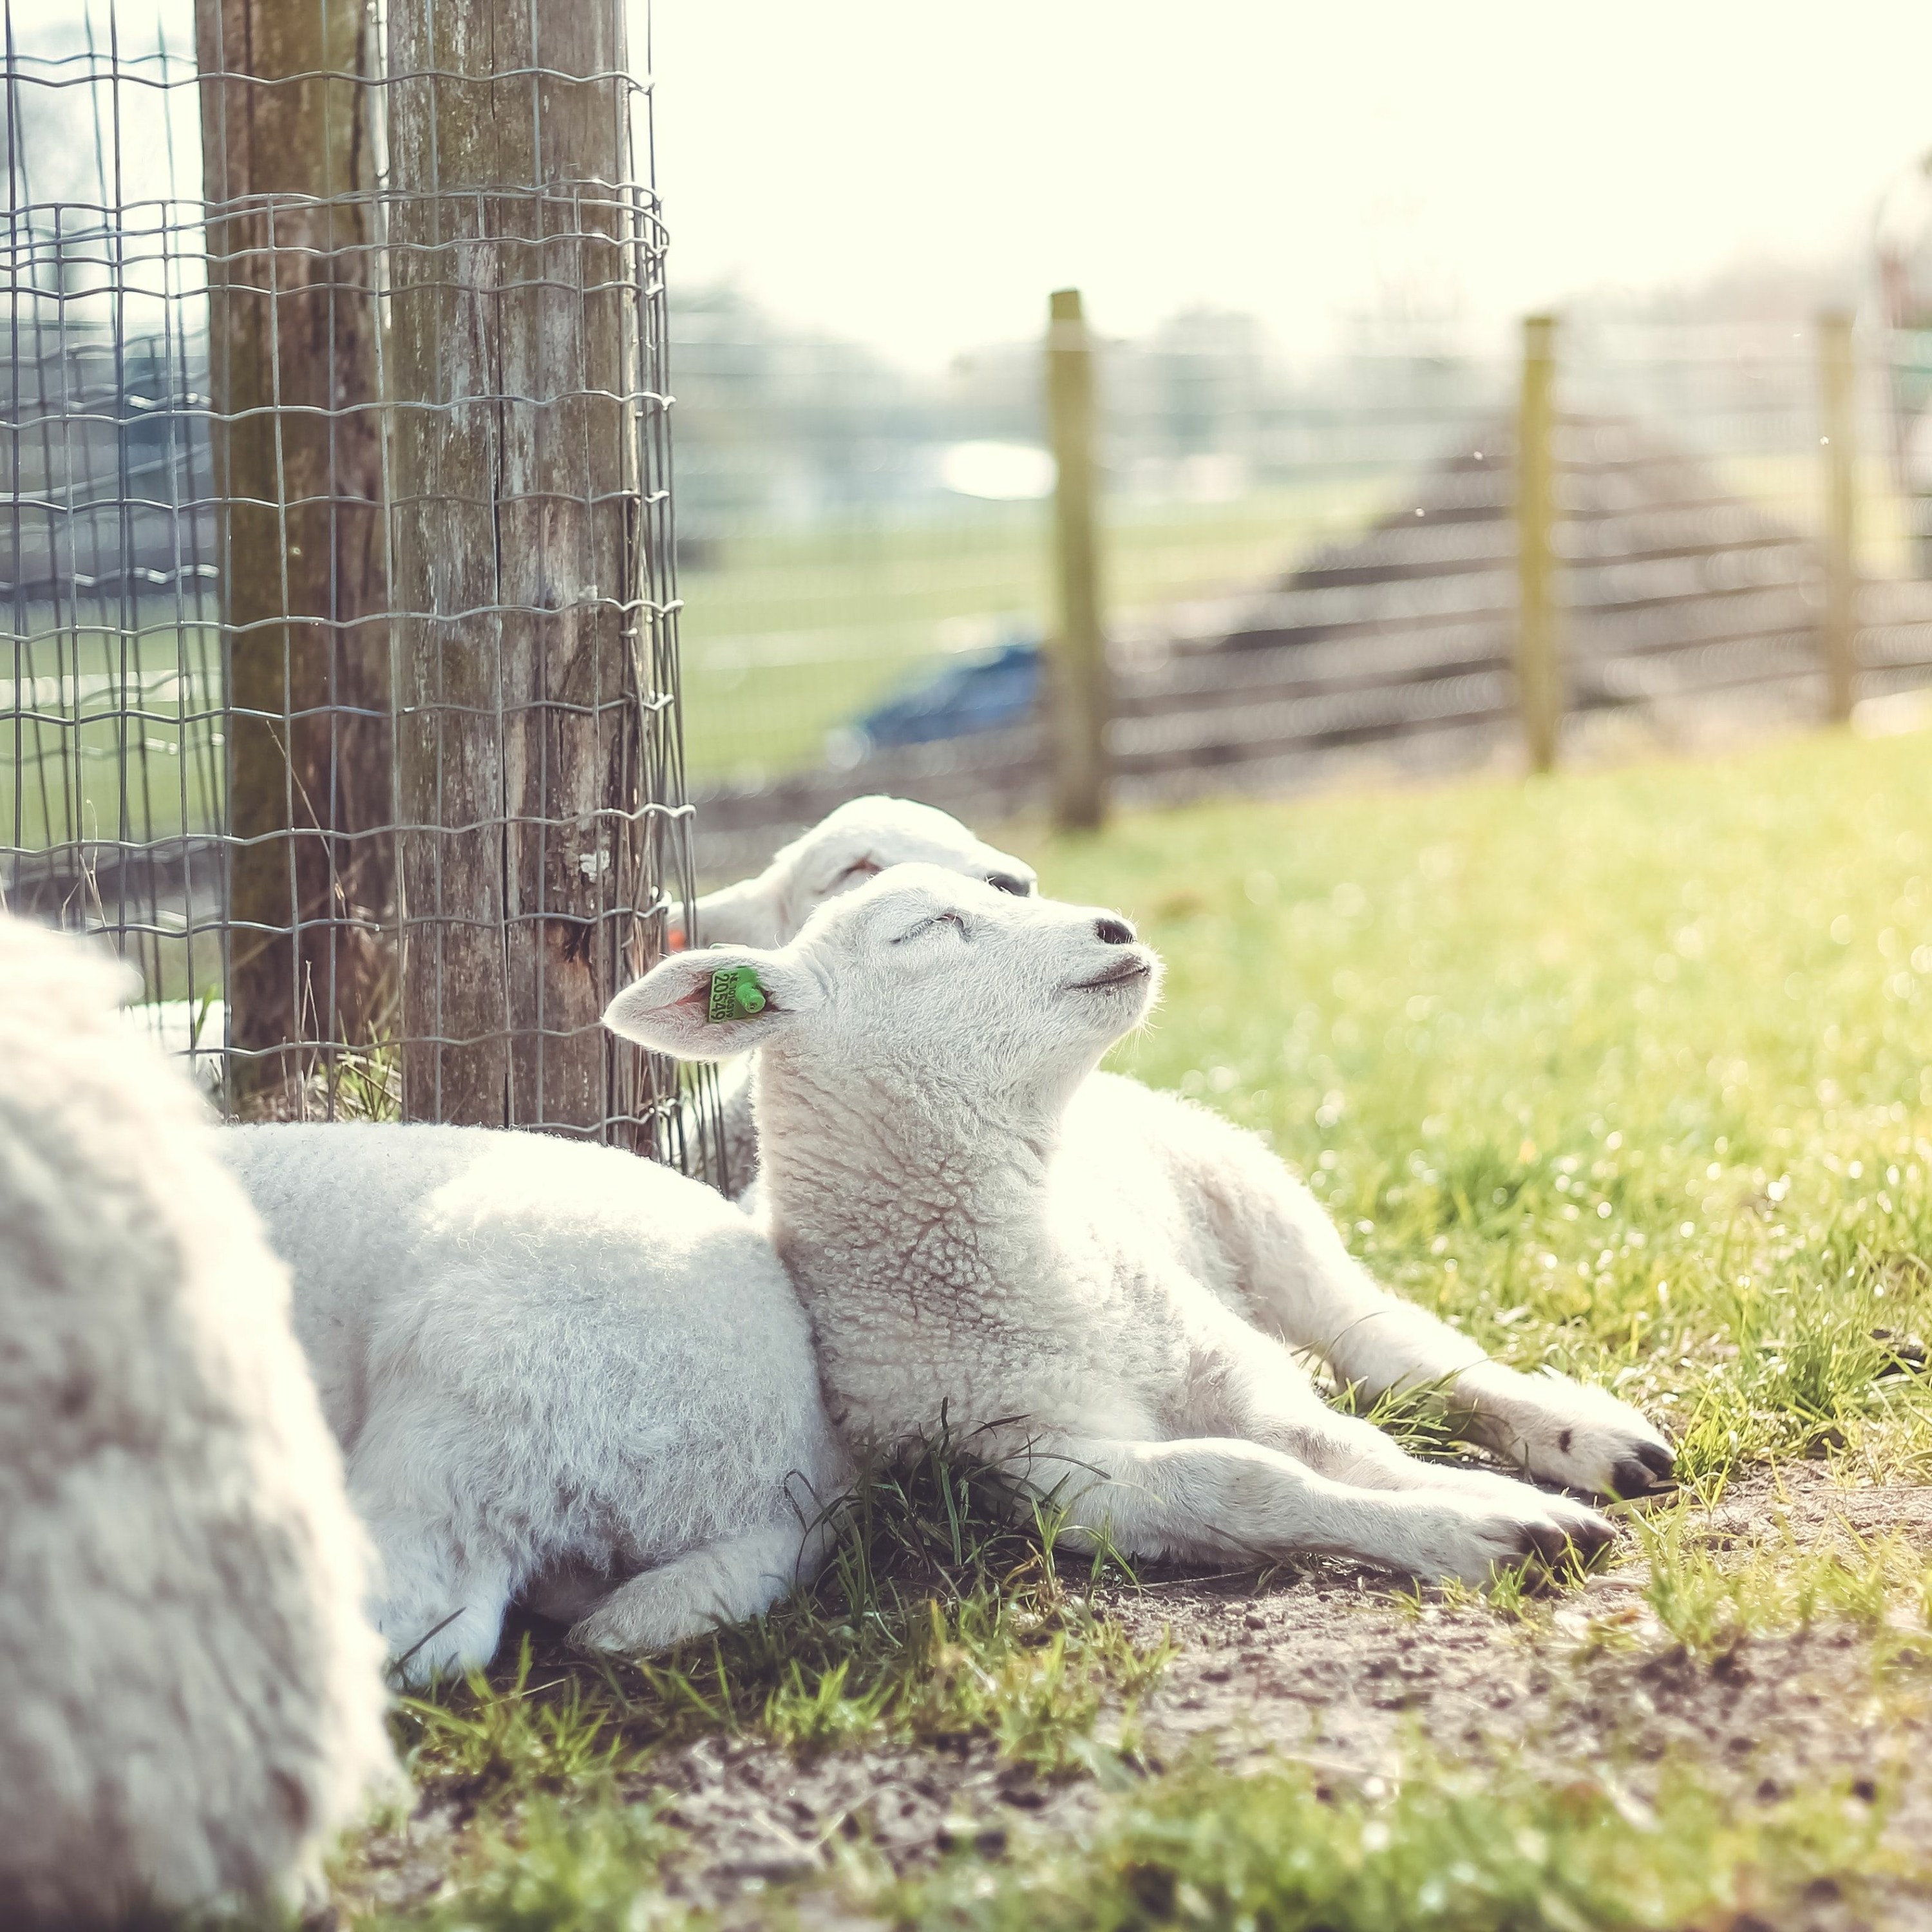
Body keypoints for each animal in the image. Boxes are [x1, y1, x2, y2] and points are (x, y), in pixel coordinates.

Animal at [606, 866, 1676, 1589]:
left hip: (1253, 1197)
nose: (1114, 926)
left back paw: (1589, 1438)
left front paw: (1496, 1501)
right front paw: (1490, 1531)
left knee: (1391, 1348)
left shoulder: (1218, 1357)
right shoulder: (1034, 1465)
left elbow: (1341, 1445)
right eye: (927, 929)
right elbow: (1247, 1482)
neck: (1035, 1274)